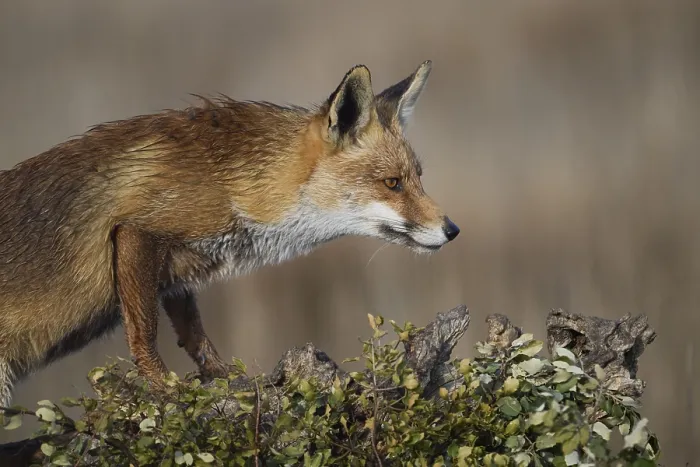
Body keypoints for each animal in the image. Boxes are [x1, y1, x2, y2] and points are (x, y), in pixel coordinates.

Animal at [0, 60, 459, 407]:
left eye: (418, 178)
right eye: (392, 184)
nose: (451, 230)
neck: (233, 182)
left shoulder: (176, 270)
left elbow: (196, 337)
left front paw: (226, 379)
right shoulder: (137, 231)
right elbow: (145, 333)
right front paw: (165, 389)